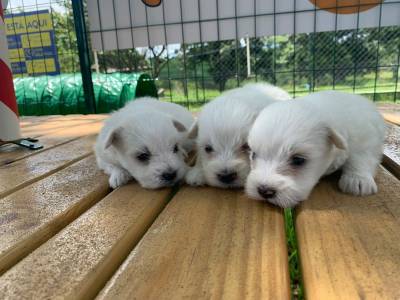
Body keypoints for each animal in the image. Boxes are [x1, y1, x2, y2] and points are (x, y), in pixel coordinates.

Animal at [245, 90, 386, 207]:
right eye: (254, 155)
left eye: (298, 160)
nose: (264, 191)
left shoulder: (365, 138)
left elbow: (361, 157)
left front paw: (358, 180)